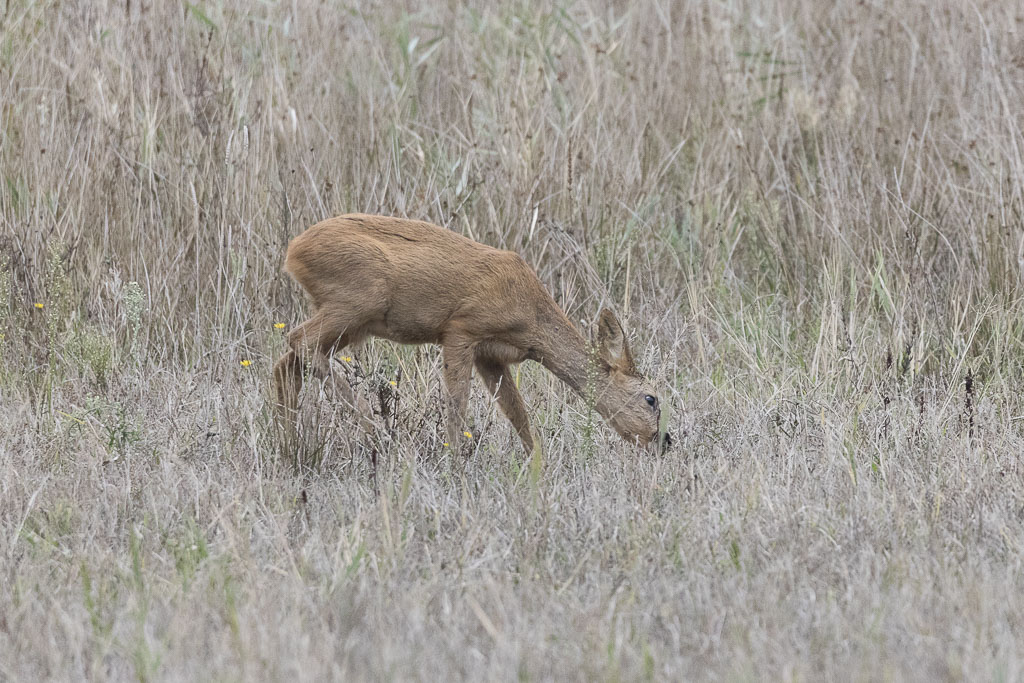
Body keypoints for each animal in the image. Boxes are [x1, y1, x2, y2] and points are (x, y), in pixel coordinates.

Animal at [274, 210, 671, 450]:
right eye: (651, 398)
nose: (662, 441)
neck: (532, 320)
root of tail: (293, 251)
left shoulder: (492, 356)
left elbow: (519, 416)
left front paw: (539, 469)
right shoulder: (461, 328)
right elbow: (457, 408)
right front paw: (454, 462)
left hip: (353, 320)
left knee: (288, 361)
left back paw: (291, 443)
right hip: (359, 298)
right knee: (299, 342)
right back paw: (376, 430)